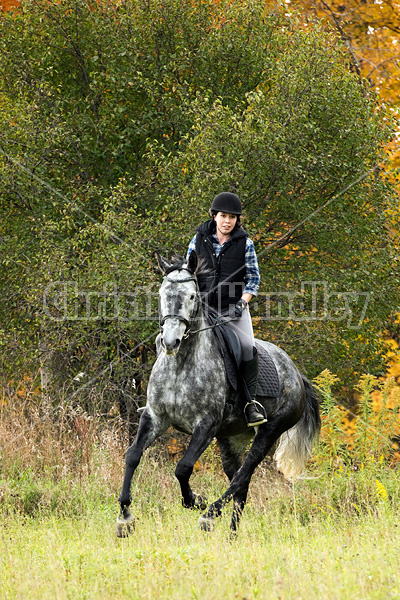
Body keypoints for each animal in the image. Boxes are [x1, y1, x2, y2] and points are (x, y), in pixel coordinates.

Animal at [115, 248, 318, 536]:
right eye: (162, 294)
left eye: (191, 296)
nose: (170, 341)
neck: (181, 365)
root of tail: (296, 373)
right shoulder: (155, 417)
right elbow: (132, 455)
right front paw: (125, 517)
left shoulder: (206, 425)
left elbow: (183, 467)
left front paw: (195, 501)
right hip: (231, 438)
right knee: (241, 484)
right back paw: (231, 536)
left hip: (269, 431)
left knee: (243, 475)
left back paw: (209, 515)